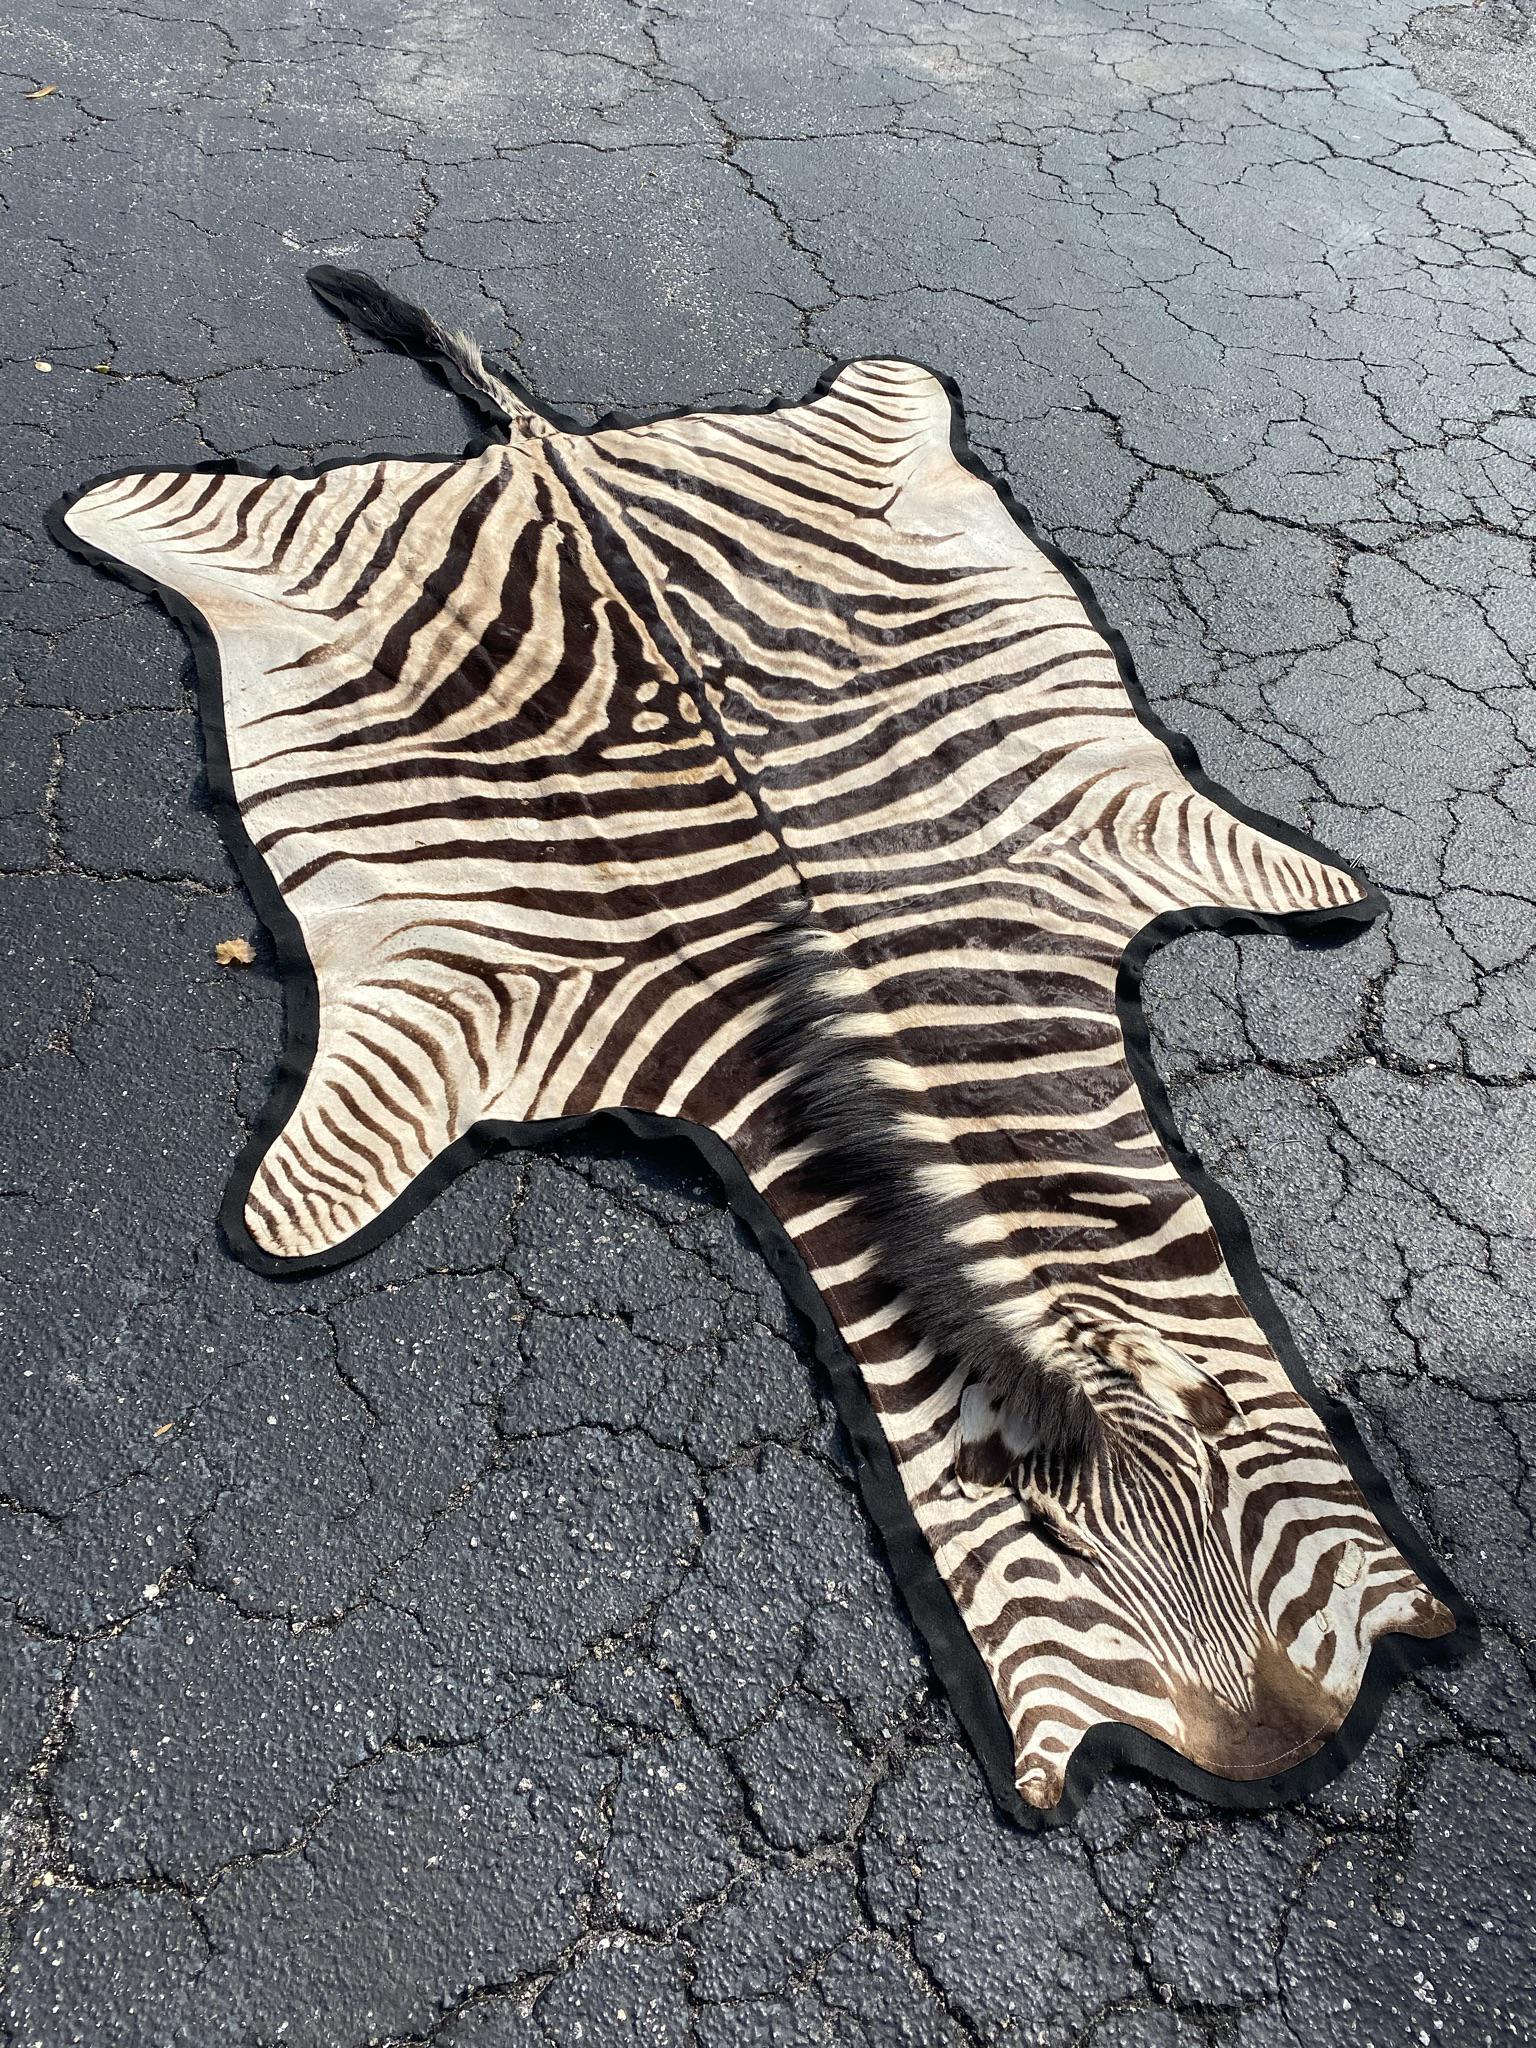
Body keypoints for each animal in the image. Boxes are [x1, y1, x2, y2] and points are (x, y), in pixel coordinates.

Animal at [53, 268, 1465, 1823]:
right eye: (1054, 1560)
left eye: (1238, 1488)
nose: (1284, 1753)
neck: (865, 1014)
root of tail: (556, 452)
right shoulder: (479, 1012)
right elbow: (318, 1186)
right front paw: (282, 1223)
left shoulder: (1112, 840)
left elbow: (1272, 866)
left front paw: (1333, 891)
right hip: (285, 536)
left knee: (884, 400)